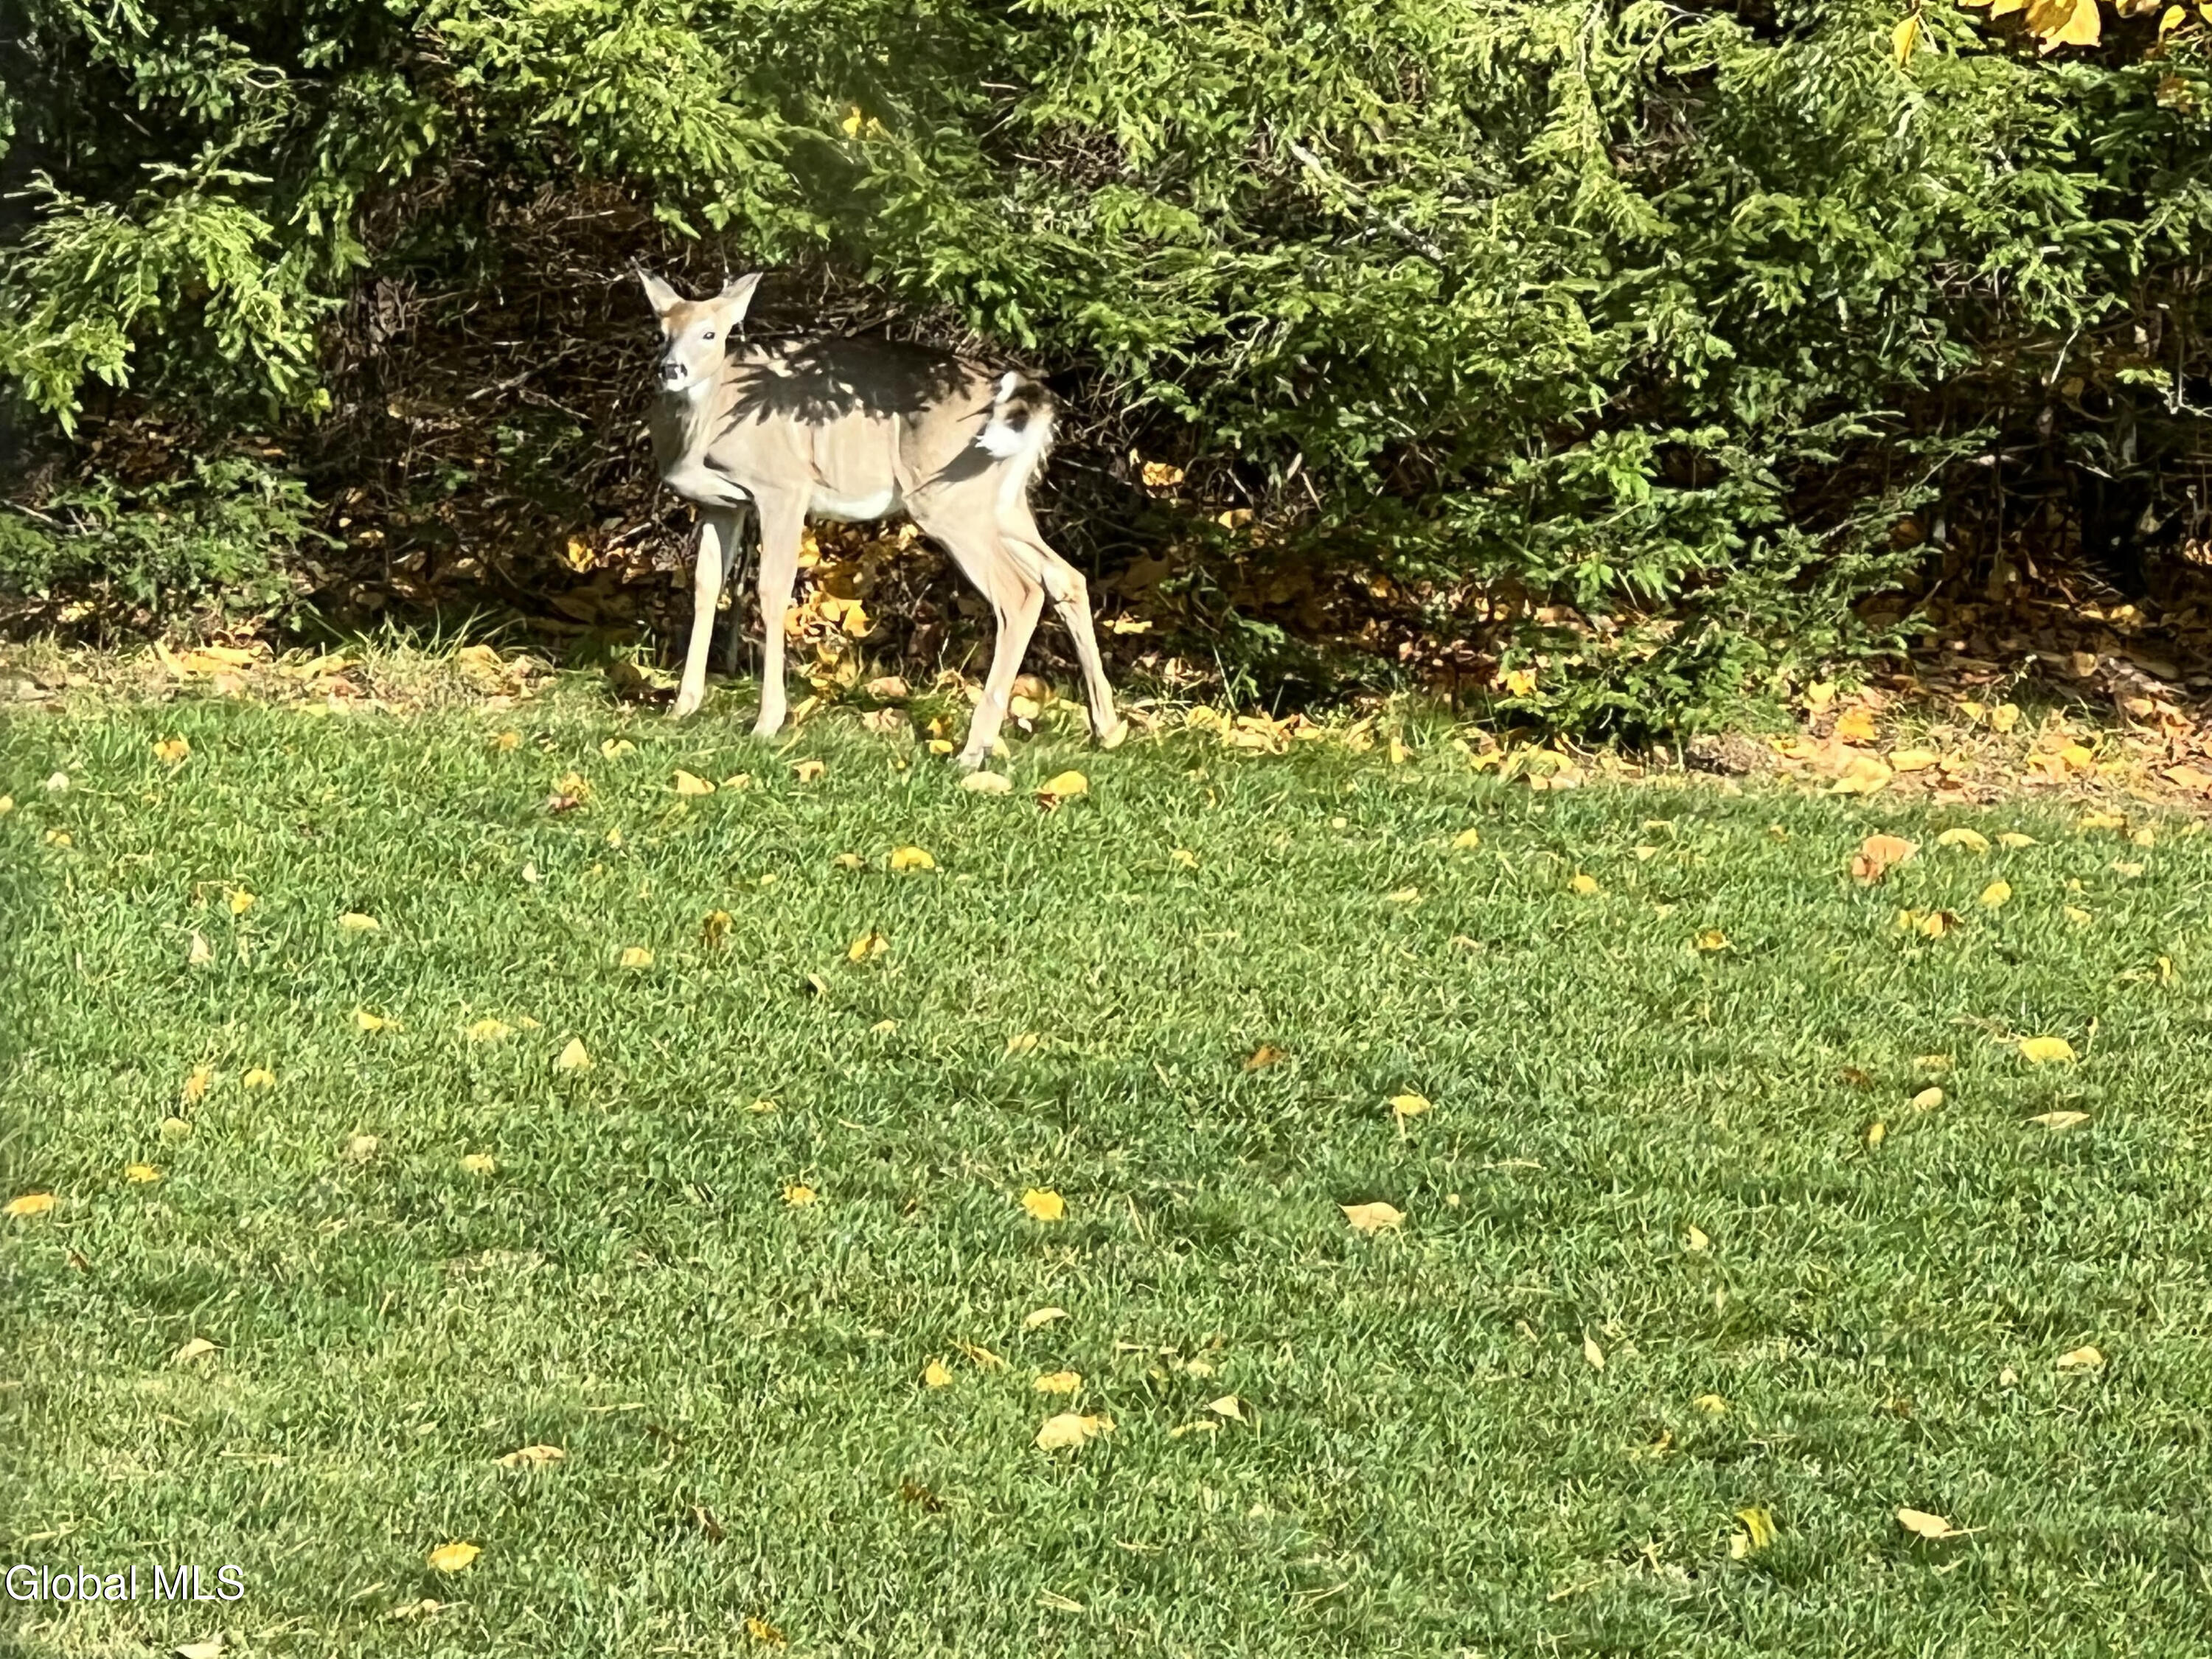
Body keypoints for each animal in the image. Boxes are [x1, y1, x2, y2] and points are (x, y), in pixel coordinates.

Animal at [638, 270, 1128, 769]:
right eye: (662, 332)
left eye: (710, 334)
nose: (671, 370)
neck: (705, 428)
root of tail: (1028, 399)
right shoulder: (722, 504)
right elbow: (705, 586)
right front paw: (683, 707)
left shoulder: (783, 487)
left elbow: (772, 591)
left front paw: (767, 722)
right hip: (1001, 501)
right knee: (1065, 576)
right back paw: (1105, 730)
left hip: (947, 498)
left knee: (1020, 592)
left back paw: (973, 752)